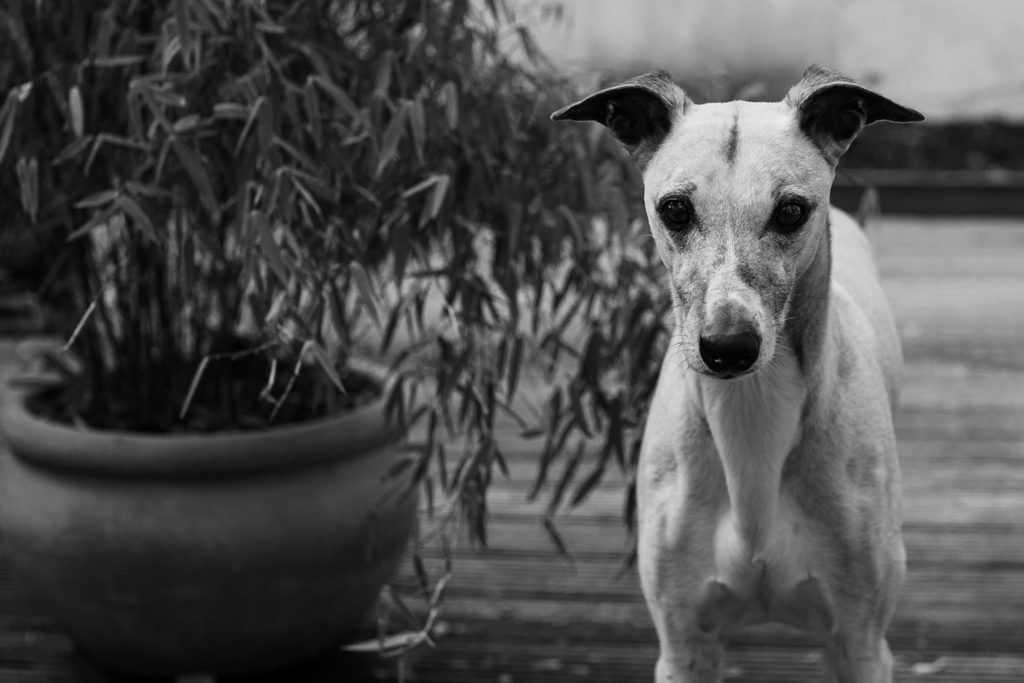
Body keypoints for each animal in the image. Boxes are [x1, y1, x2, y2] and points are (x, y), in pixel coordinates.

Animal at [557, 65, 925, 683]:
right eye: (675, 209)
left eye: (792, 211)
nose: (728, 348)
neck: (751, 419)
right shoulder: (684, 646)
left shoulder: (860, 645)